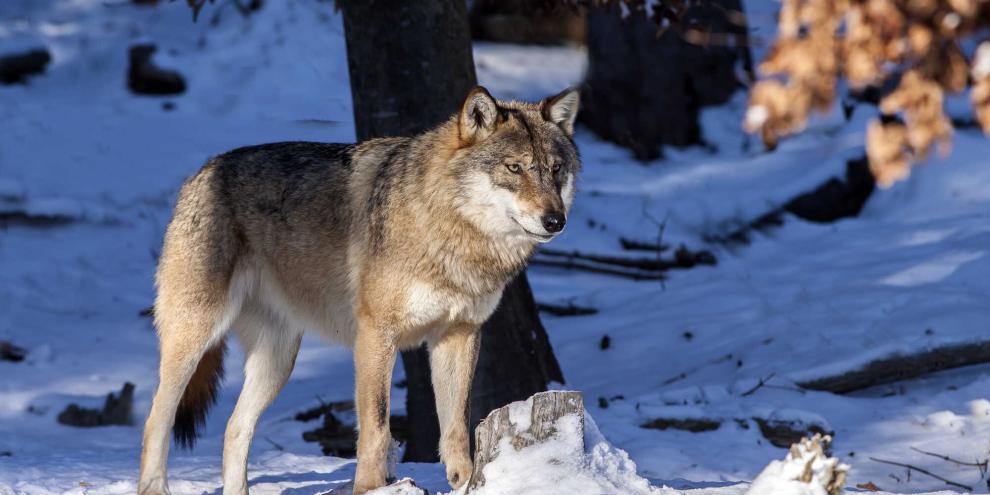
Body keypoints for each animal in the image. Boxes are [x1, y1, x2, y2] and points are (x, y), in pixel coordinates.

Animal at [137, 86, 581, 495]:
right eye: (515, 168)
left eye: (556, 169)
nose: (555, 220)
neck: (451, 235)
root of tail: (201, 172)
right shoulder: (375, 334)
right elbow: (376, 426)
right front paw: (370, 487)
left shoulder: (459, 334)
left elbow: (456, 424)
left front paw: (465, 482)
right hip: (195, 338)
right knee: (155, 420)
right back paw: (154, 487)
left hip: (278, 360)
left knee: (233, 429)